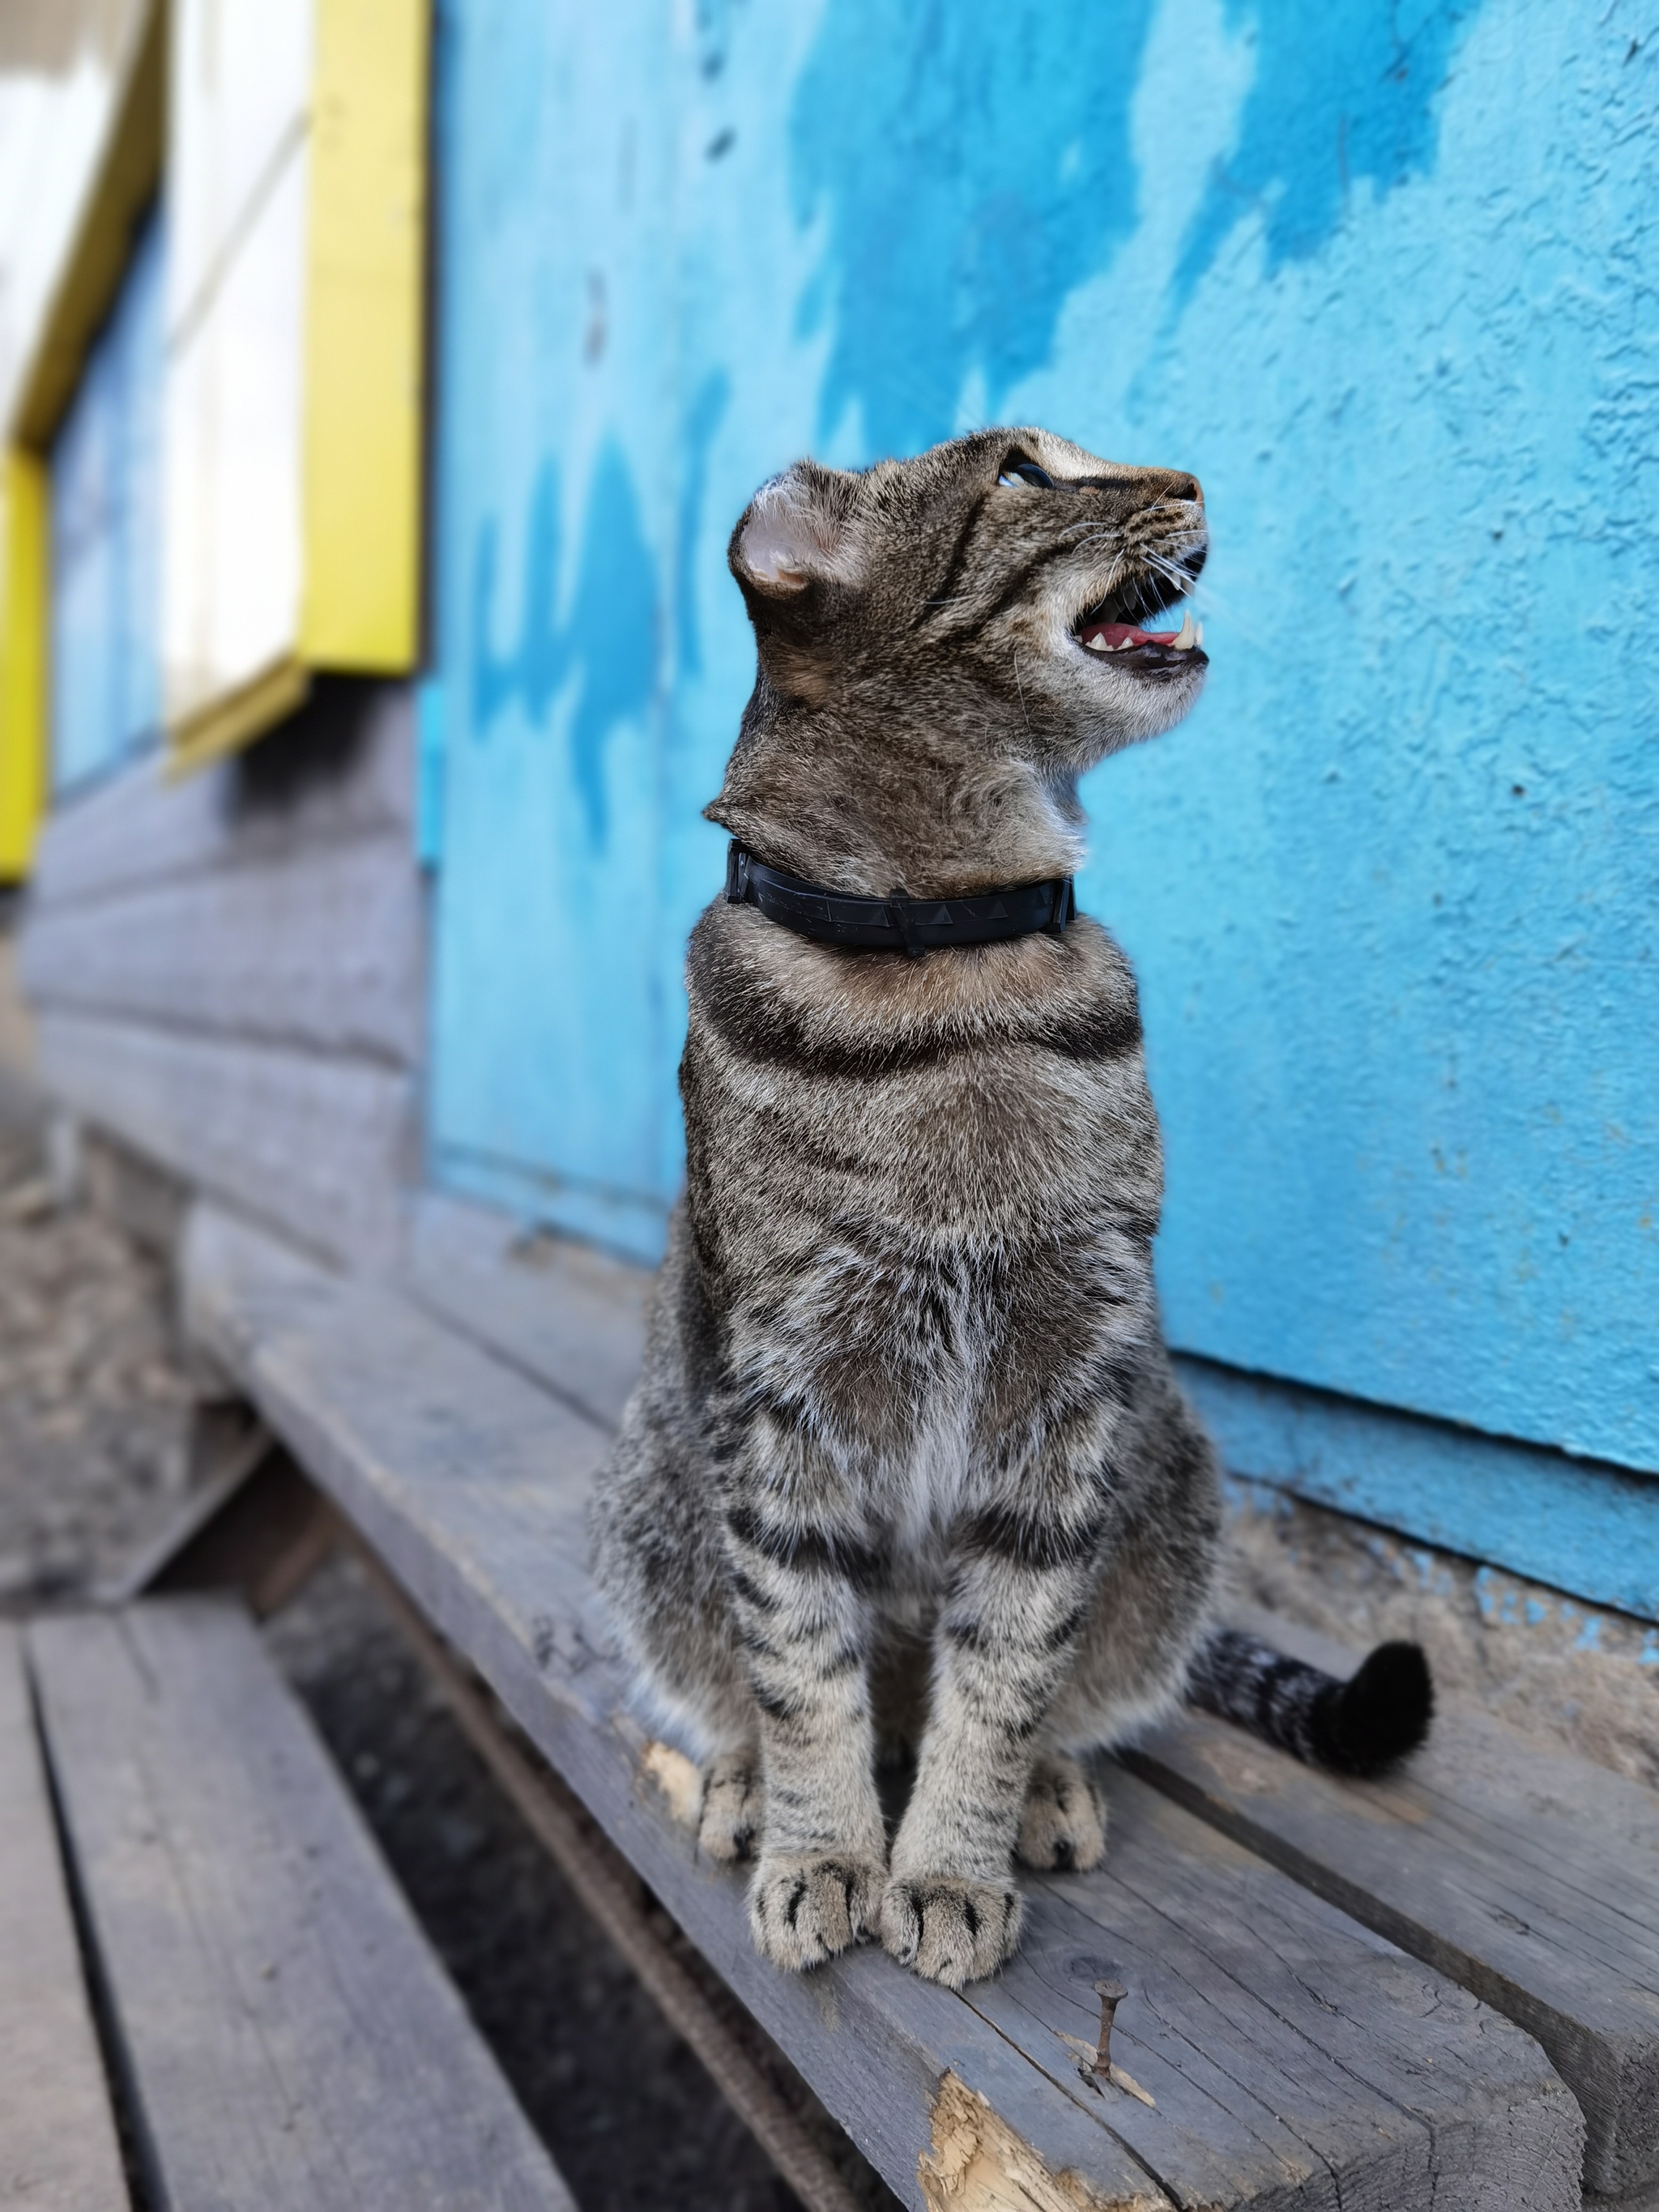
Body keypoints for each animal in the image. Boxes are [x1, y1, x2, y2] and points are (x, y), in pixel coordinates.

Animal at [592, 431, 1433, 1990]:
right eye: (1025, 471)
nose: (1194, 475)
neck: (951, 953)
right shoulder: (776, 1397)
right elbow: (801, 1666)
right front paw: (823, 1851)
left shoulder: (1071, 1383)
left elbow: (1006, 1666)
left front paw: (947, 1864)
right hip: (654, 1480)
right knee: (751, 1678)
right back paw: (743, 1784)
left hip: (1171, 1466)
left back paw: (1044, 1787)